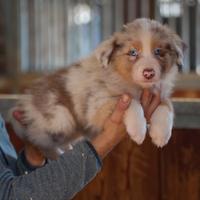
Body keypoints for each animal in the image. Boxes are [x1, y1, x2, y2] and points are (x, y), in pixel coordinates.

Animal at [11, 18, 184, 159]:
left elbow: (167, 106)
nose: (149, 73)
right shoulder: (97, 103)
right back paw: (54, 154)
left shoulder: (159, 93)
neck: (136, 86)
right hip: (59, 119)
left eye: (158, 51)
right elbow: (132, 102)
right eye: (133, 52)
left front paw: (161, 134)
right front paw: (138, 130)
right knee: (37, 140)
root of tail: (26, 99)